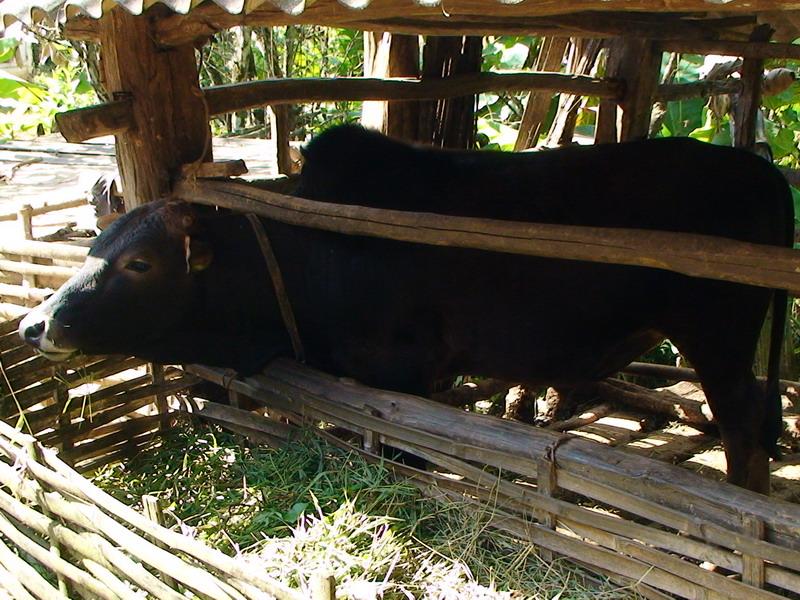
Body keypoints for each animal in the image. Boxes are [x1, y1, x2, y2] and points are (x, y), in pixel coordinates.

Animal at [18, 125, 792, 492]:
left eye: (140, 263)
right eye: (95, 242)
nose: (34, 324)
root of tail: (764, 169)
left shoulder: (404, 375)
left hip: (718, 338)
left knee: (745, 427)